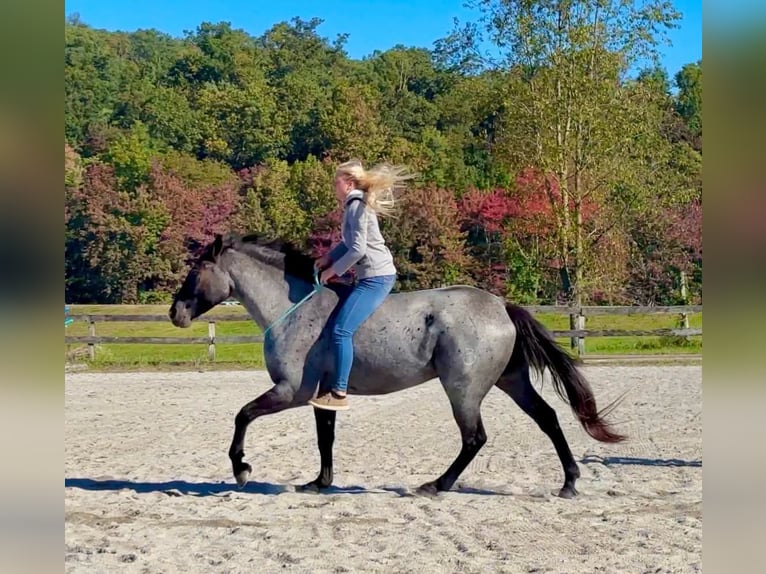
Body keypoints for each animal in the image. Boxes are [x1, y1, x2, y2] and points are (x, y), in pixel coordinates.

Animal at [168, 233, 626, 498]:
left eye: (197, 269)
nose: (176, 312)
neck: (294, 309)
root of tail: (501, 306)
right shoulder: (323, 396)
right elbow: (325, 439)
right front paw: (319, 483)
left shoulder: (290, 392)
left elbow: (242, 415)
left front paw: (242, 470)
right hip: (511, 381)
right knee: (548, 418)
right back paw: (569, 482)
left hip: (463, 389)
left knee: (474, 438)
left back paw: (436, 485)